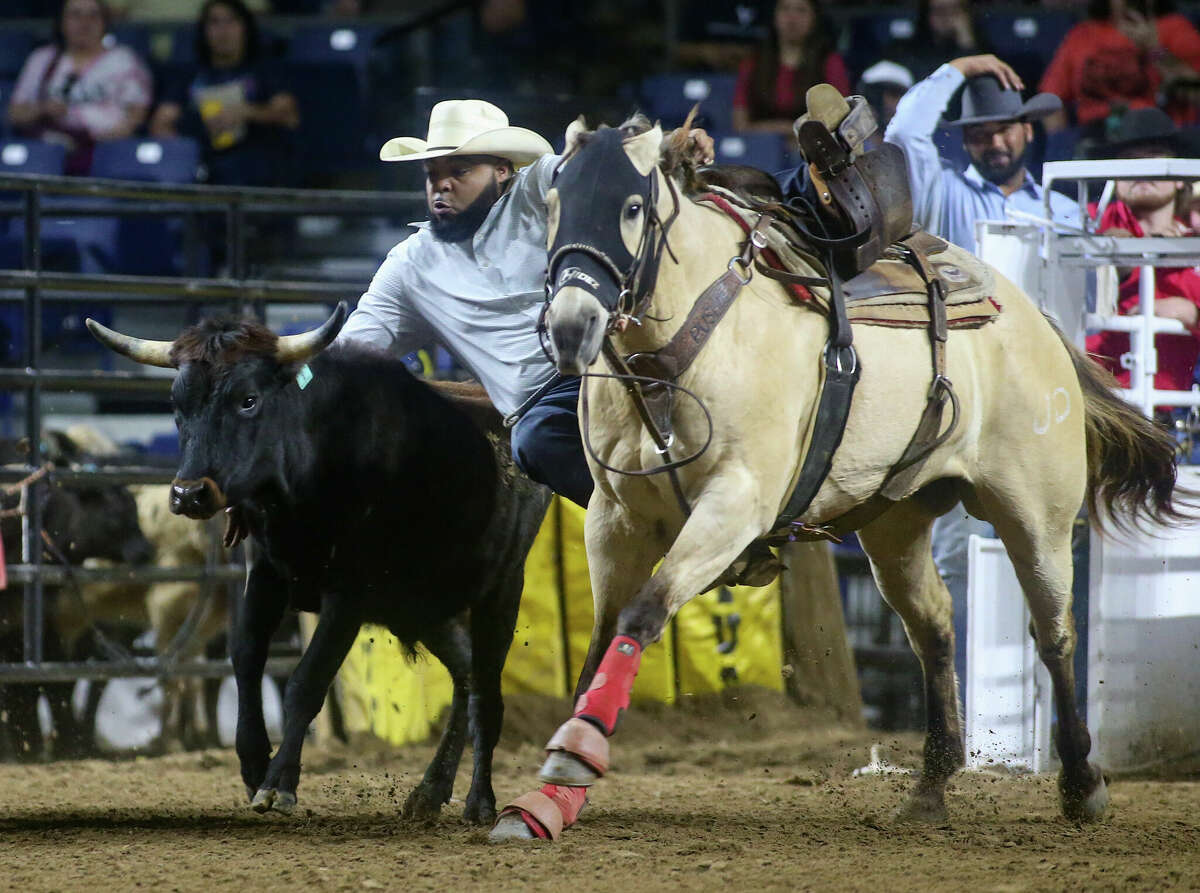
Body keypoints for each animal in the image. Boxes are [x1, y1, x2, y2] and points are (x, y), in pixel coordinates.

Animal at [487, 117, 1190, 835]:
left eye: (632, 208)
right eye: (554, 204)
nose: (572, 327)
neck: (684, 349)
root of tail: (1034, 322)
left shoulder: (735, 504)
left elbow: (644, 613)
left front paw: (575, 755)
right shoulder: (615, 518)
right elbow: (602, 638)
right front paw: (551, 794)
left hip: (1035, 515)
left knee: (1053, 634)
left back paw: (1080, 783)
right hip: (896, 523)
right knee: (933, 626)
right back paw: (931, 785)